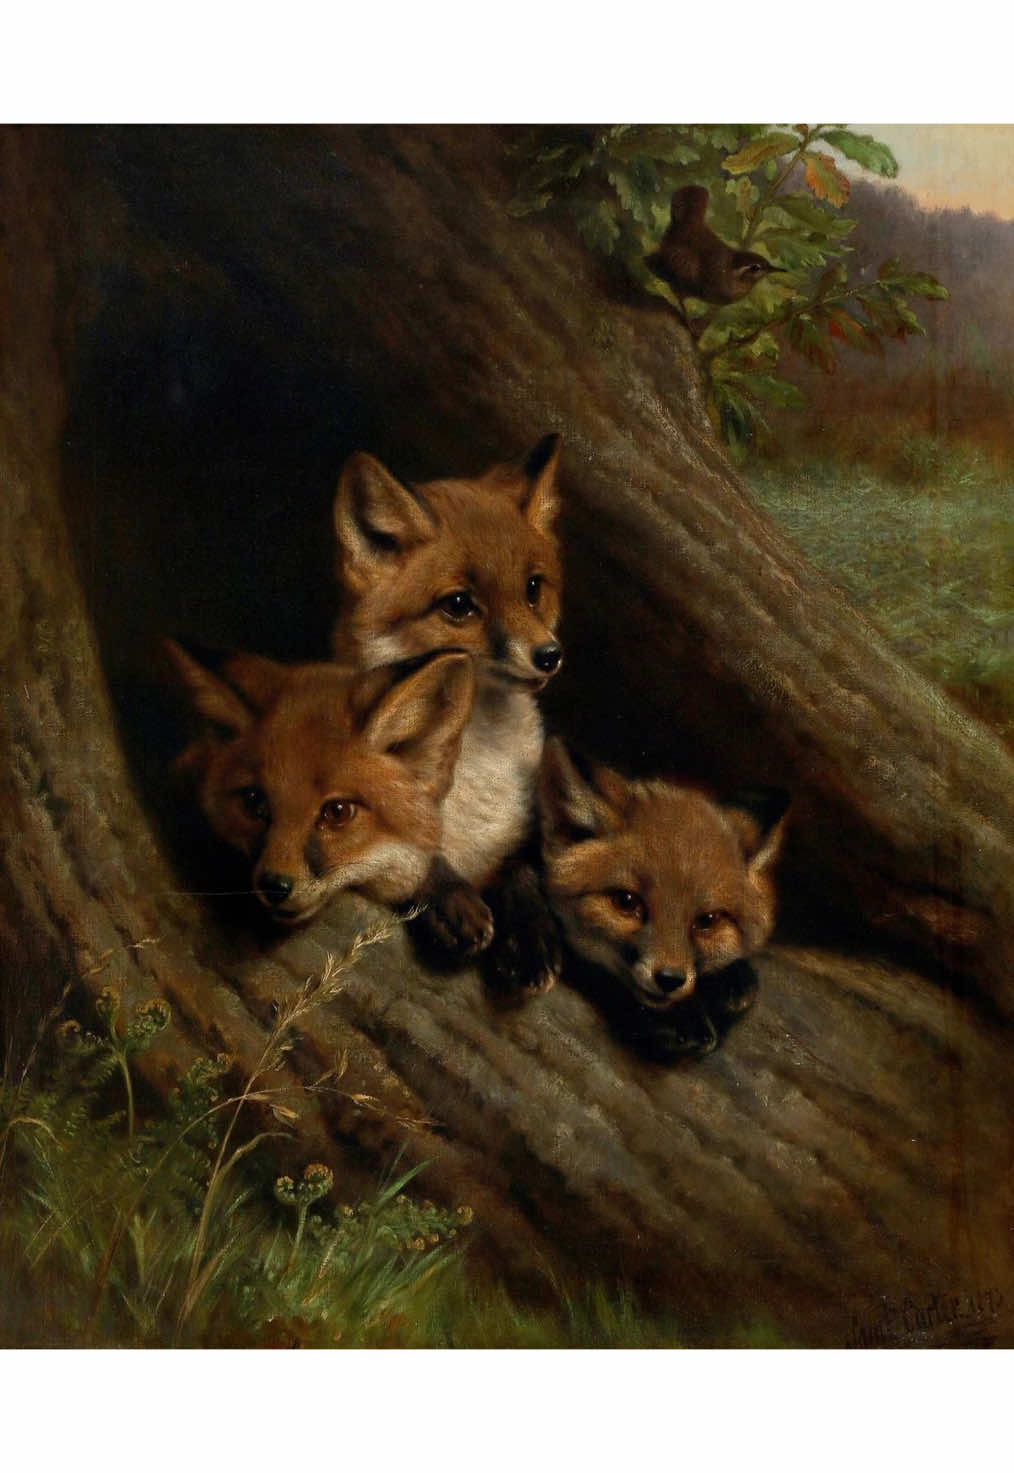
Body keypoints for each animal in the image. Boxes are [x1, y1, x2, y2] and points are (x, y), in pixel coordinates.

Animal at [331, 434, 565, 989]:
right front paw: (450, 901)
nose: (549, 655)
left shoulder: (517, 841)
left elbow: (522, 873)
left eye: (533, 589)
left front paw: (531, 933)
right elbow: (411, 859)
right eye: (459, 605)